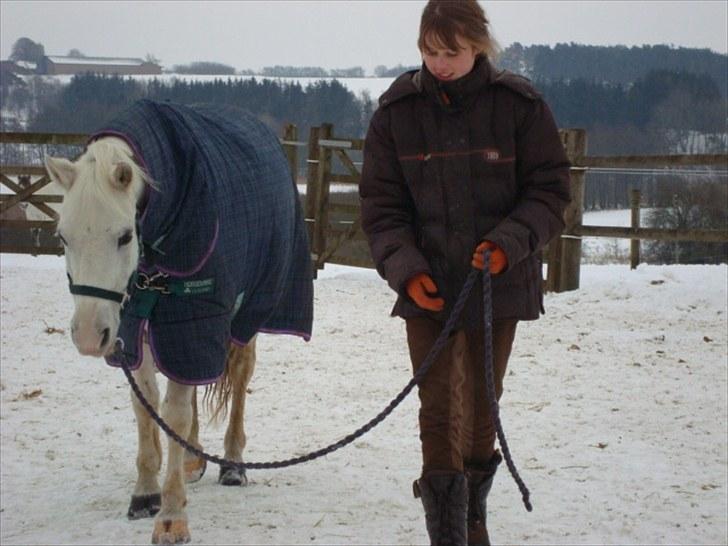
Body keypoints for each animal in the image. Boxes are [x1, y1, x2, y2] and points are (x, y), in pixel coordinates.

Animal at [45, 100, 313, 544]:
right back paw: (191, 458)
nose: (87, 336)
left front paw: (171, 515)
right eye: (63, 237)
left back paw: (233, 463)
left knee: (238, 379)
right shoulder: (138, 331)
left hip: (245, 318)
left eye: (123, 236)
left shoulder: (191, 322)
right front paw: (145, 493)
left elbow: (174, 413)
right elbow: (147, 407)